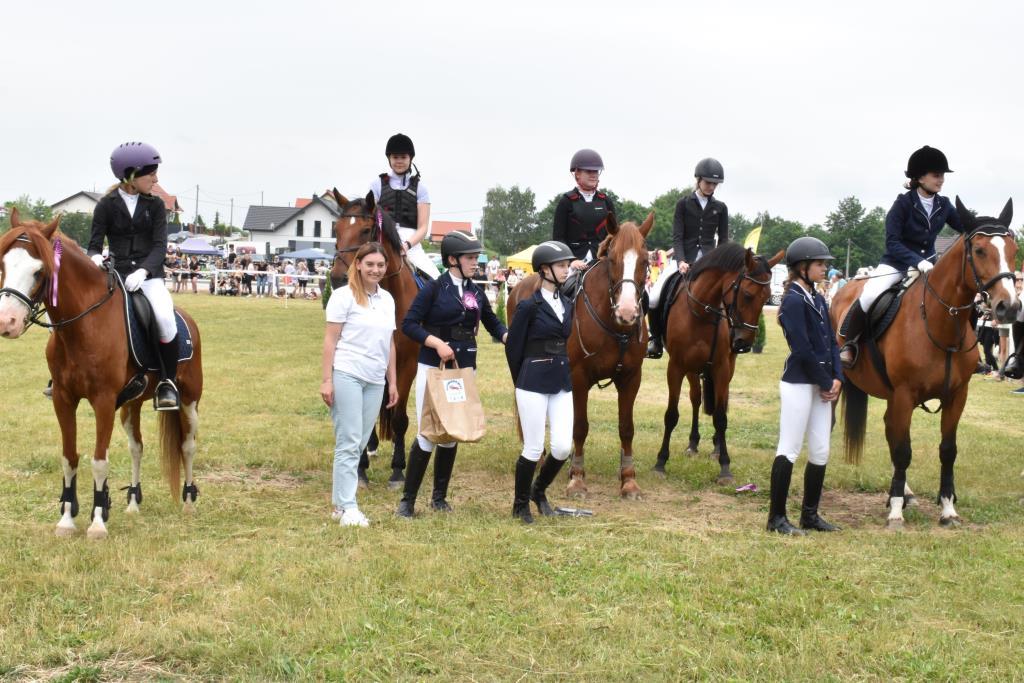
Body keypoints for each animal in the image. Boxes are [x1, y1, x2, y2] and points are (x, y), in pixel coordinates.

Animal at [0, 209, 203, 539]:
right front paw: (67, 519)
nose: (7, 322)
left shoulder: (103, 401)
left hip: (189, 400)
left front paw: (97, 523)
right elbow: (69, 458)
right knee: (137, 447)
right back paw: (133, 502)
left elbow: (98, 460)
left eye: (39, 271)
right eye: (3, 264)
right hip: (132, 406)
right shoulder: (63, 399)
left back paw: (188, 502)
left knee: (187, 446)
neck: (83, 325)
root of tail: (186, 318)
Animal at [508, 212, 654, 499]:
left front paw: (628, 480)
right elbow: (580, 426)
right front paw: (577, 478)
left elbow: (626, 428)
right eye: (612, 258)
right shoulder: (577, 378)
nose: (627, 312)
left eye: (645, 261)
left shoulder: (631, 378)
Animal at [652, 243, 784, 483]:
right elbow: (671, 414)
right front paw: (660, 462)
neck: (702, 312)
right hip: (691, 369)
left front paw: (725, 466)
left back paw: (715, 447)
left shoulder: (721, 367)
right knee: (695, 399)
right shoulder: (675, 367)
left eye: (767, 297)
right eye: (747, 295)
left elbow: (721, 417)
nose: (743, 342)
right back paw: (693, 443)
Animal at [830, 197, 1018, 529]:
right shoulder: (905, 394)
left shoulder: (956, 396)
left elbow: (947, 450)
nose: (1008, 307)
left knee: (890, 430)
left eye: (1013, 250)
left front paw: (947, 508)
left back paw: (905, 493)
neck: (940, 322)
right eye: (980, 251)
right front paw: (895, 512)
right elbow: (904, 450)